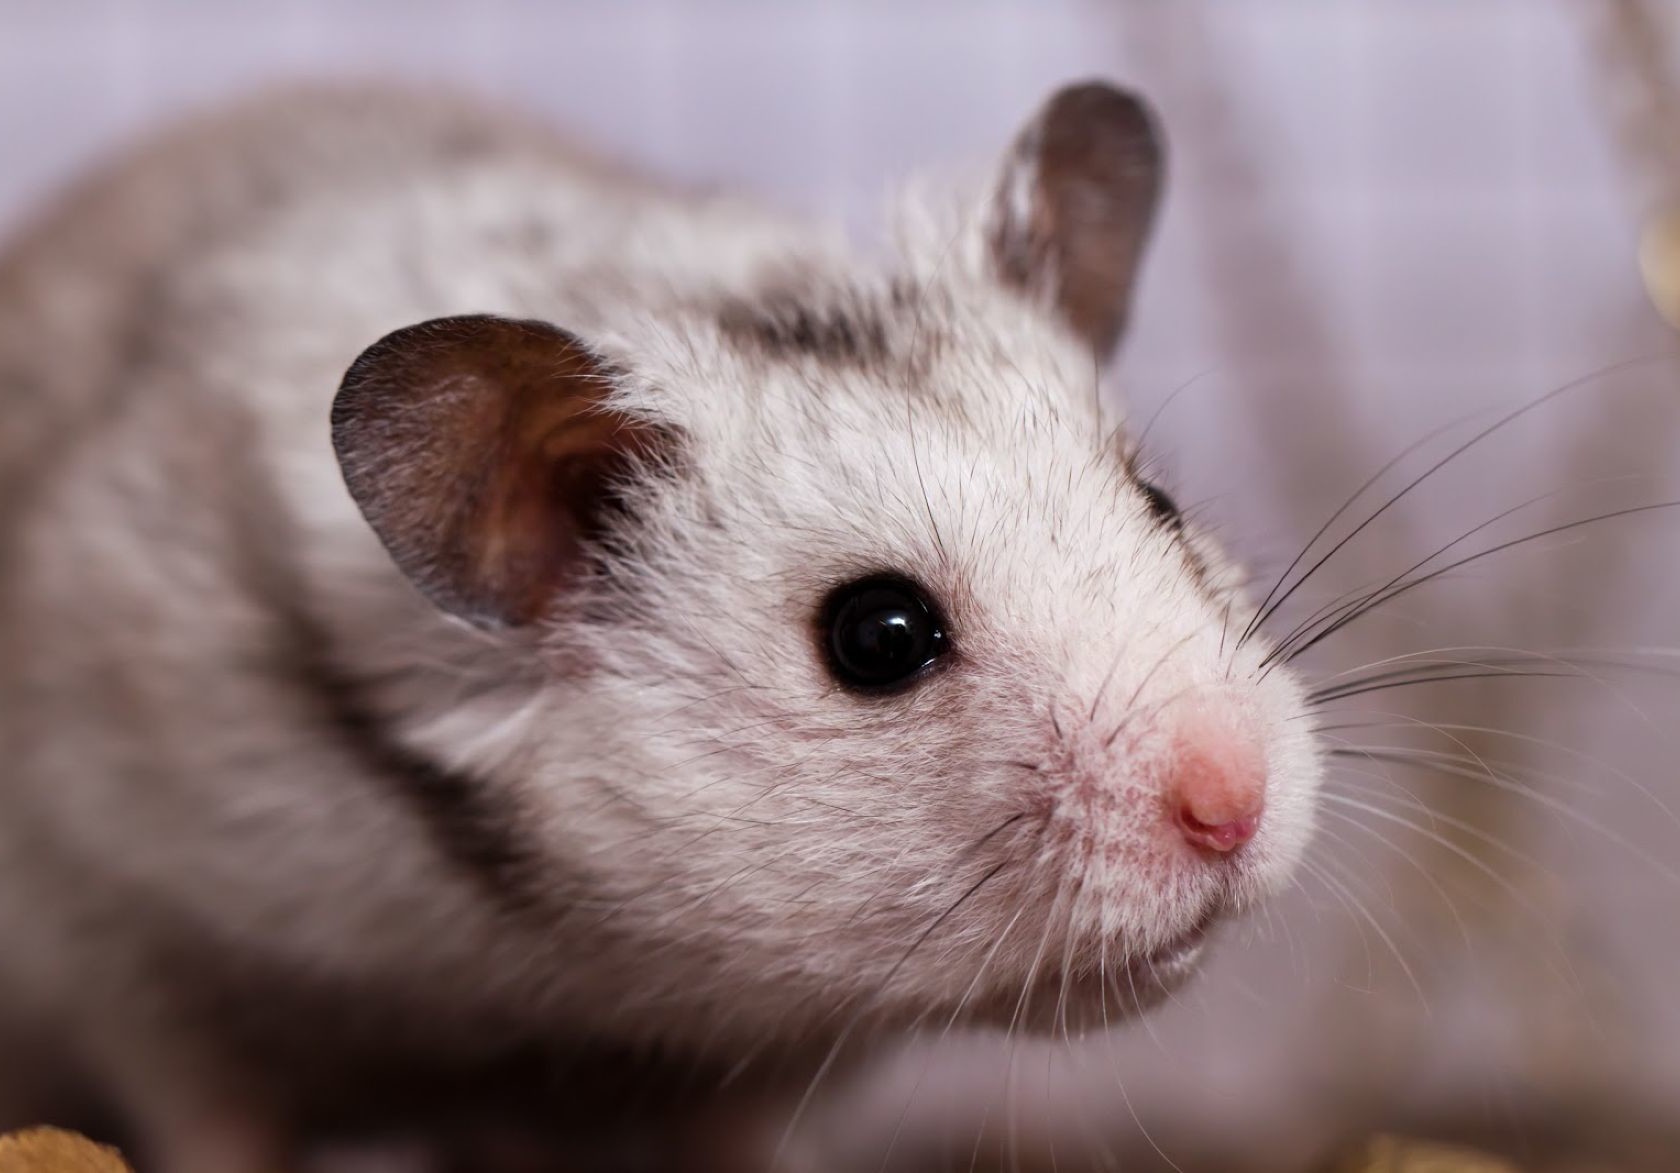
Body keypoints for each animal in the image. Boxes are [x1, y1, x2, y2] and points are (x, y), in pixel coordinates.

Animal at [0, 81, 1321, 1171]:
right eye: (879, 636)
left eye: (1161, 505)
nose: (1236, 803)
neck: (582, 975)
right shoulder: (138, 957)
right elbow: (212, 1123)